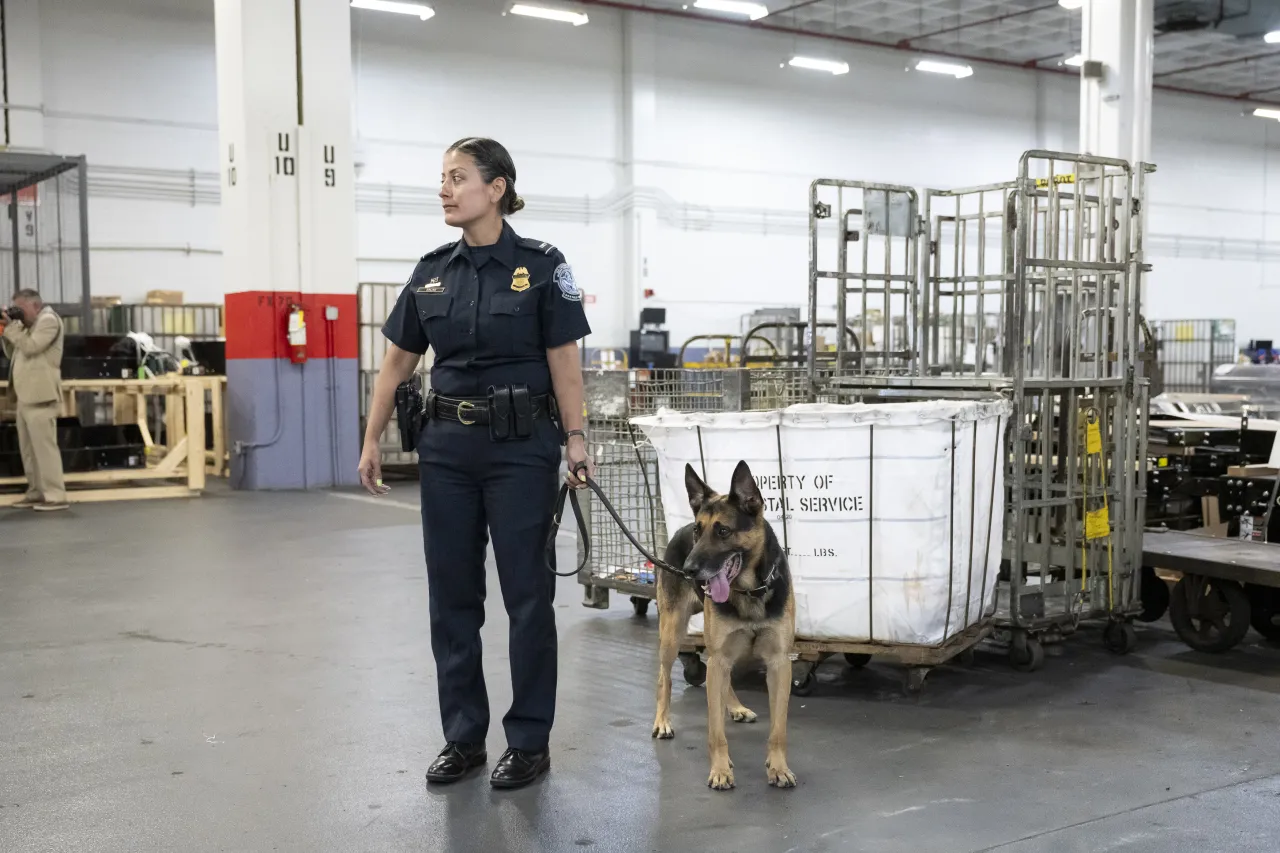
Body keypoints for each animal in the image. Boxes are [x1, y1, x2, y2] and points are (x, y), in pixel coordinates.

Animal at [655, 461, 793, 788]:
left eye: (723, 530)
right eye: (698, 530)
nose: (689, 570)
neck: (749, 591)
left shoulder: (780, 664)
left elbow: (778, 729)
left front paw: (778, 767)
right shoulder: (719, 657)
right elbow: (715, 729)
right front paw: (720, 770)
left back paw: (735, 707)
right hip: (673, 633)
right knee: (664, 676)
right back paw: (662, 721)